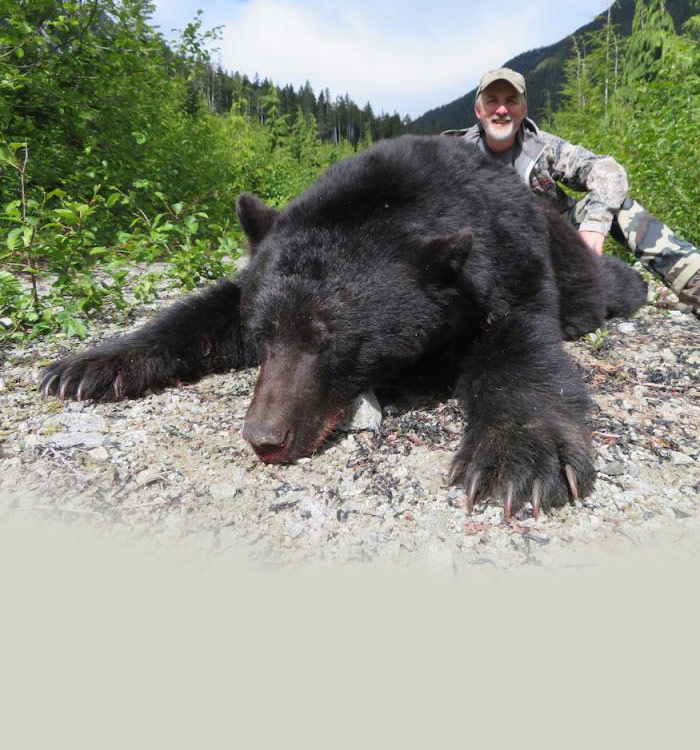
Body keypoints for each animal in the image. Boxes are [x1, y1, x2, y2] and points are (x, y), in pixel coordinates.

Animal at [40, 134, 647, 520]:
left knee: (612, 283)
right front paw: (88, 366)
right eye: (263, 335)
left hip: (583, 271)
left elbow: (518, 344)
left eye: (329, 341)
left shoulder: (507, 260)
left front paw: (516, 456)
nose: (265, 439)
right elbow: (206, 309)